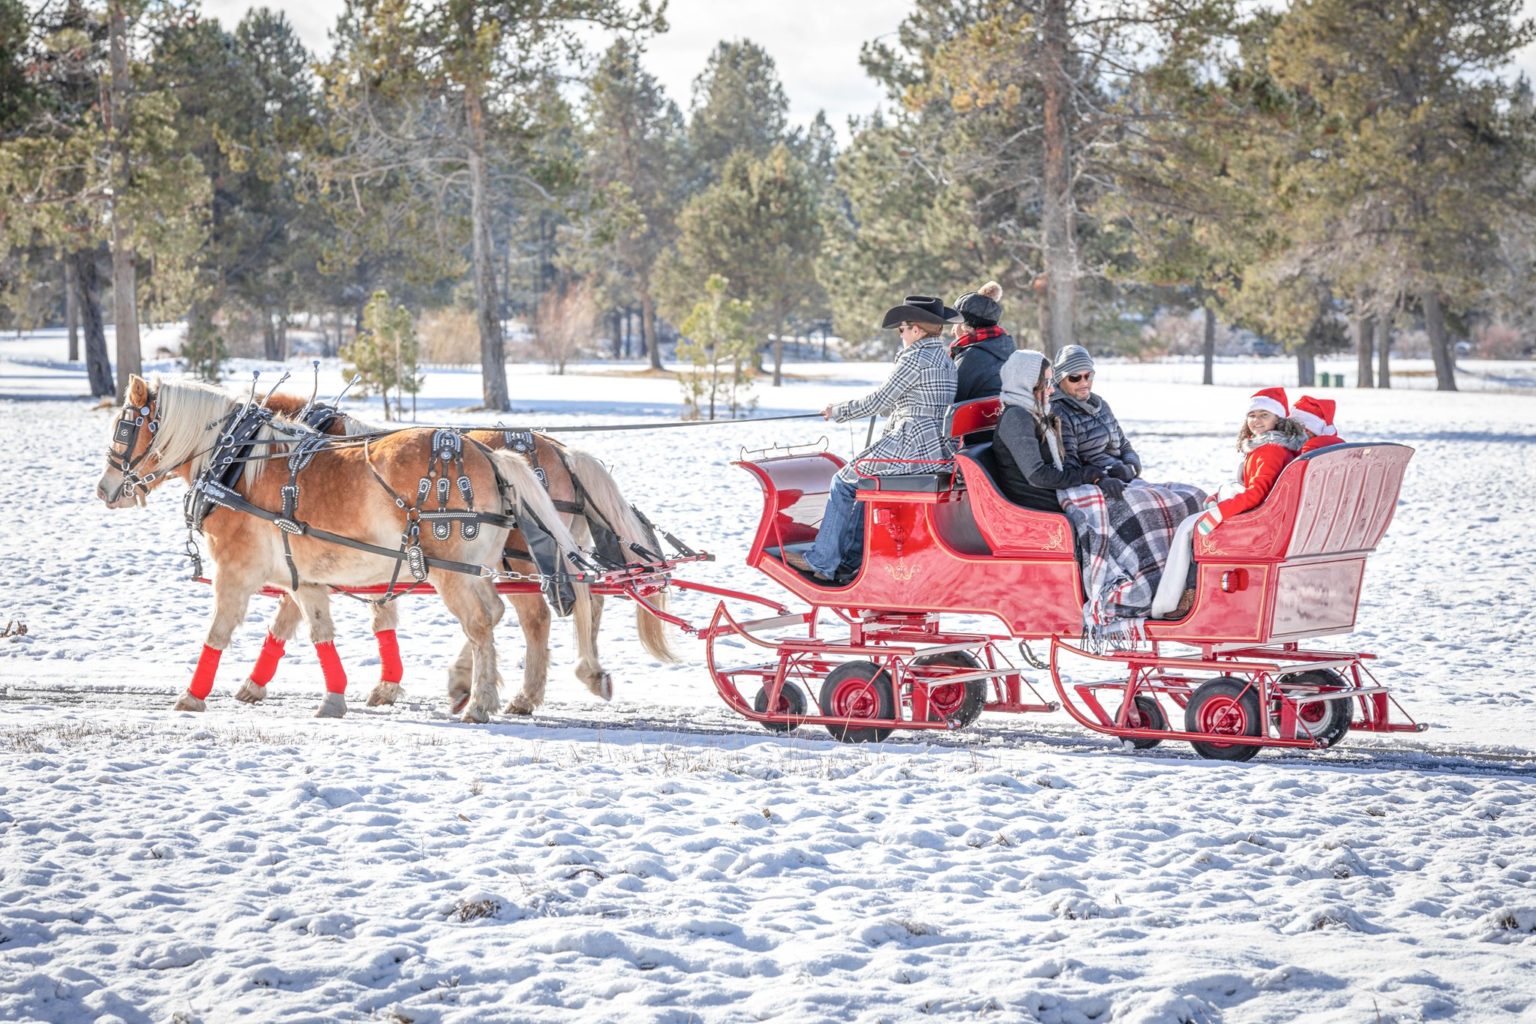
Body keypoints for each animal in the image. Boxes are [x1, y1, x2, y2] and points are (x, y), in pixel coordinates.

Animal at [241, 396, 672, 718]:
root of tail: (564, 453)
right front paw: (388, 685)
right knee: (579, 601)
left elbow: (293, 614)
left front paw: (254, 684)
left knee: (535, 616)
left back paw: (517, 690)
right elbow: (375, 613)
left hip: (517, 561)